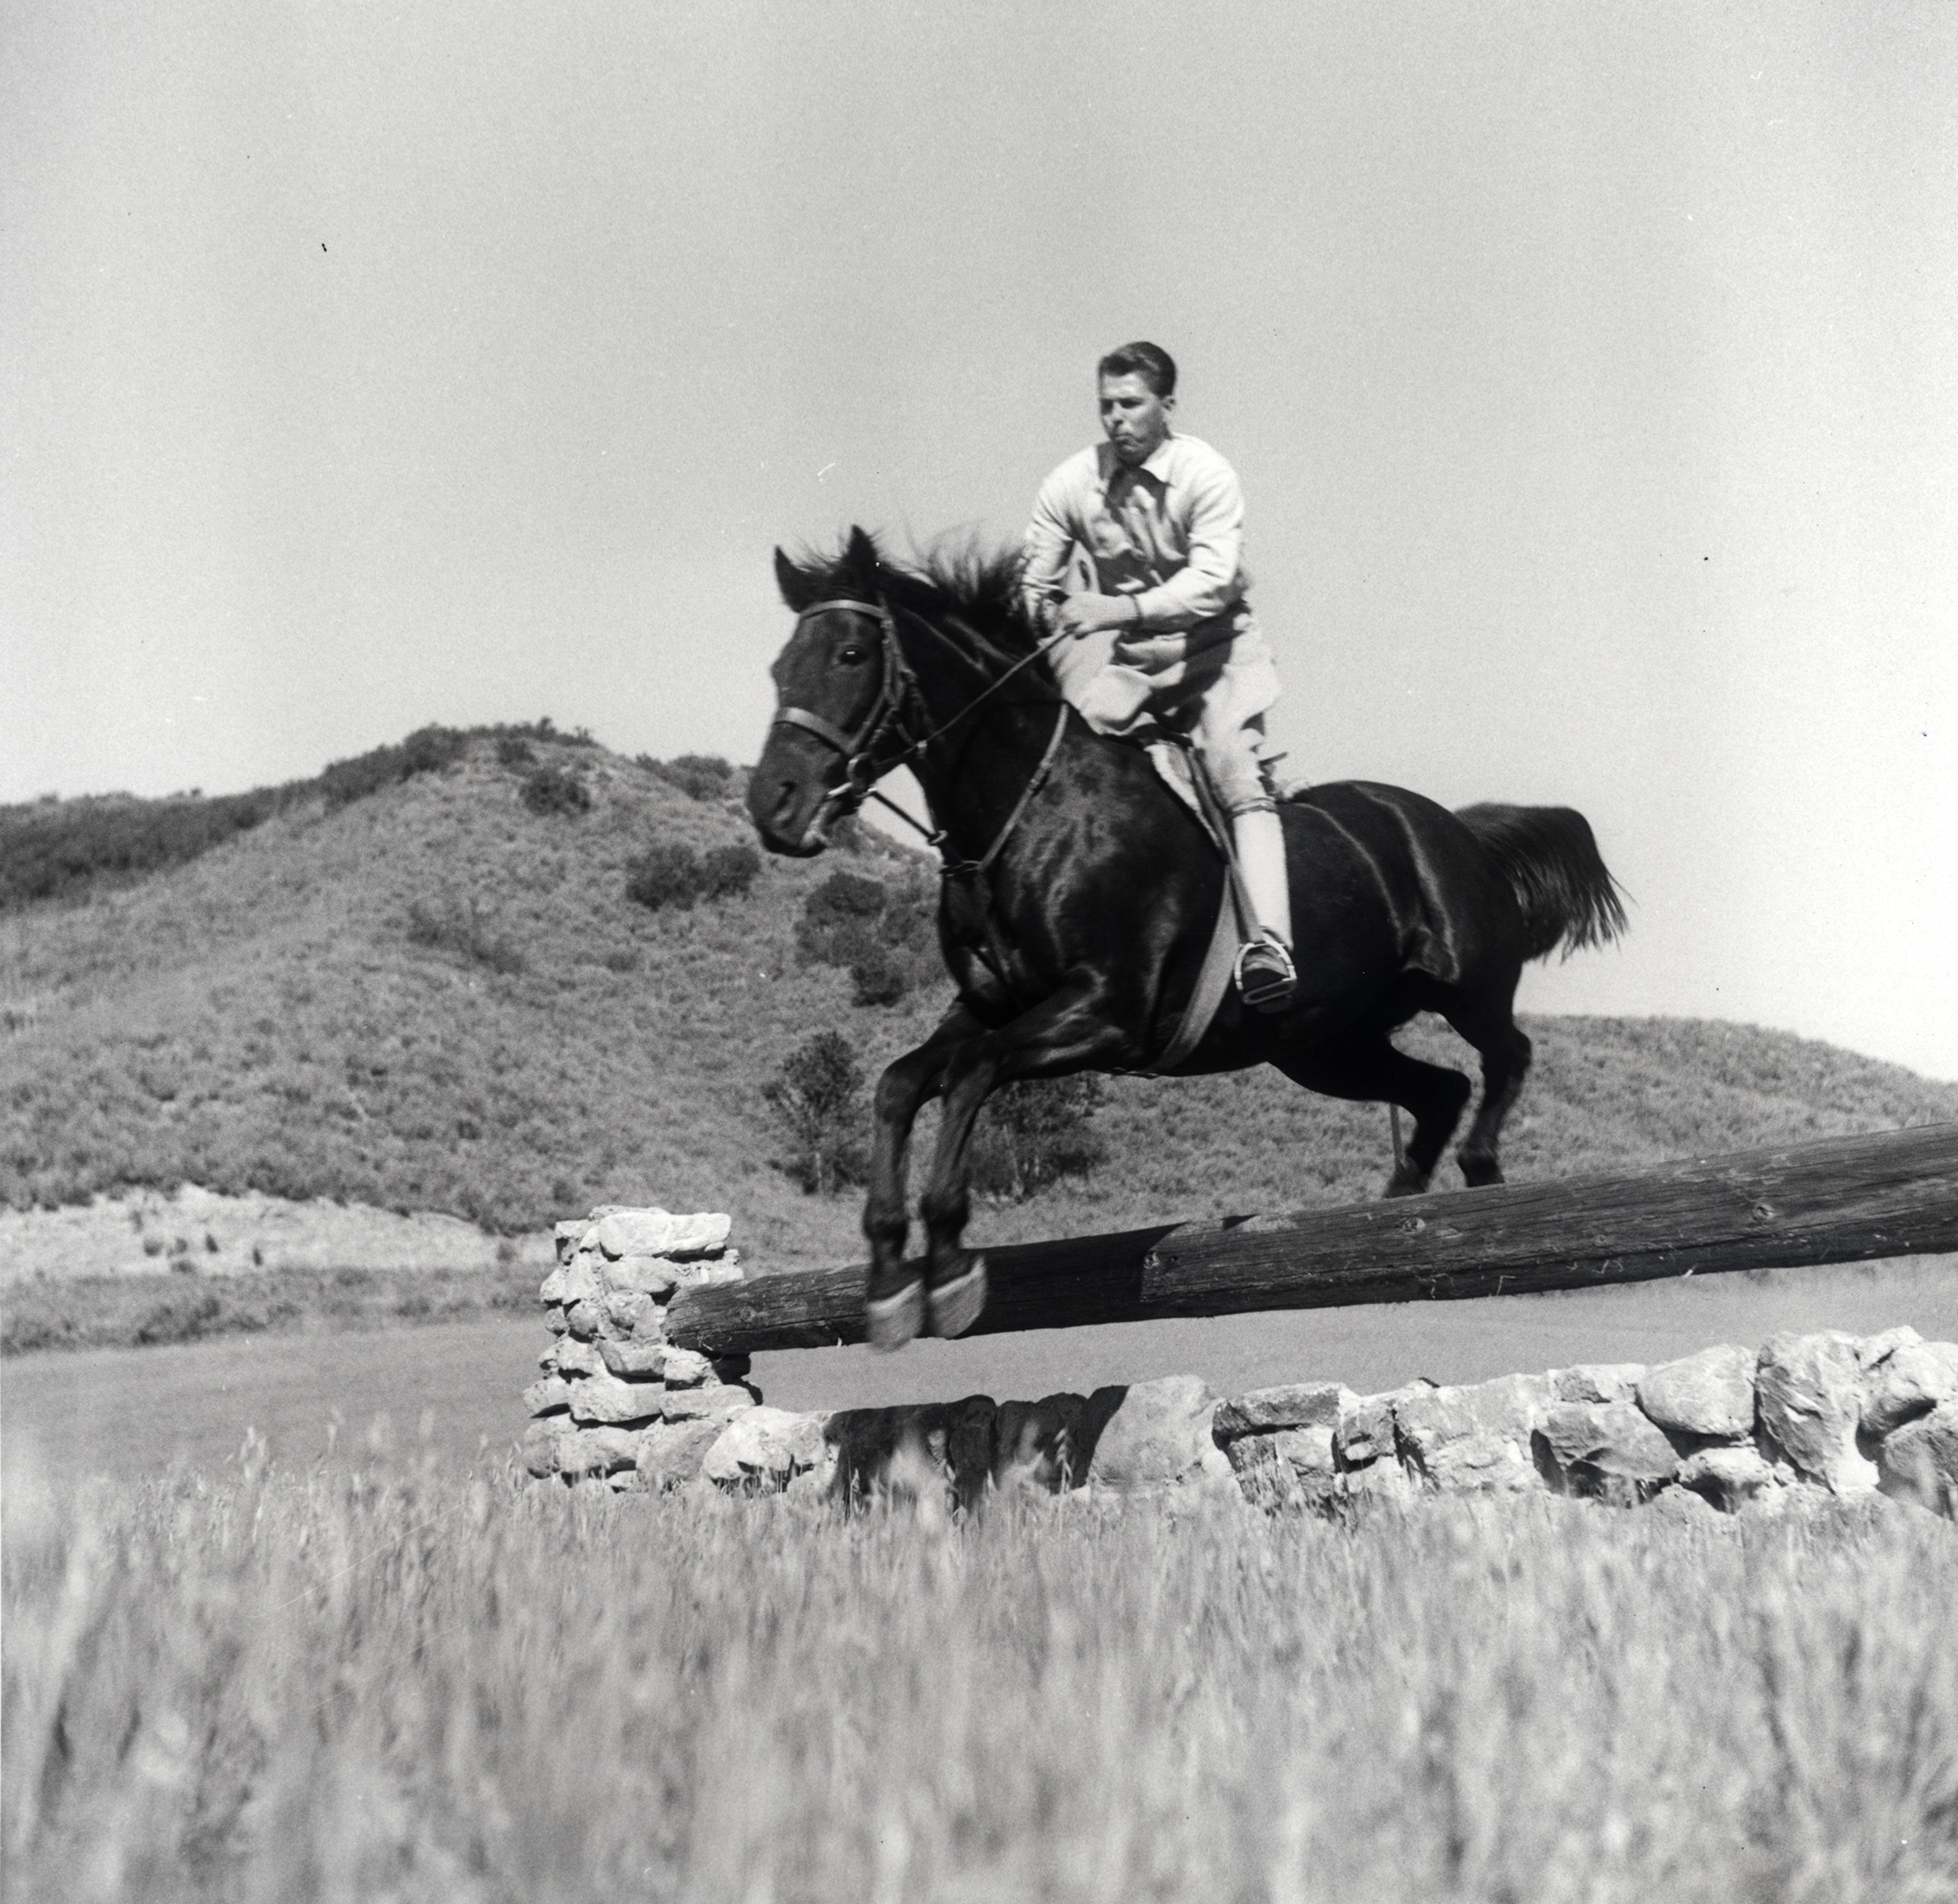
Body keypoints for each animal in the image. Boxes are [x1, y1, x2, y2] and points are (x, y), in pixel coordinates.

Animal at [747, 529, 1621, 1348]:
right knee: (1436, 1090)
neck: (1026, 811)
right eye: (778, 667)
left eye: (851, 655)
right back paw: (1391, 1210)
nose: (774, 807)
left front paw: (952, 1266)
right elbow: (900, 1082)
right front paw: (889, 1278)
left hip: (1465, 983)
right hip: (1323, 1046)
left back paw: (1479, 1169)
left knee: (1505, 1053)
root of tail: (1455, 827)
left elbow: (968, 1075)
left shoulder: (1105, 1011)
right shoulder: (991, 1009)